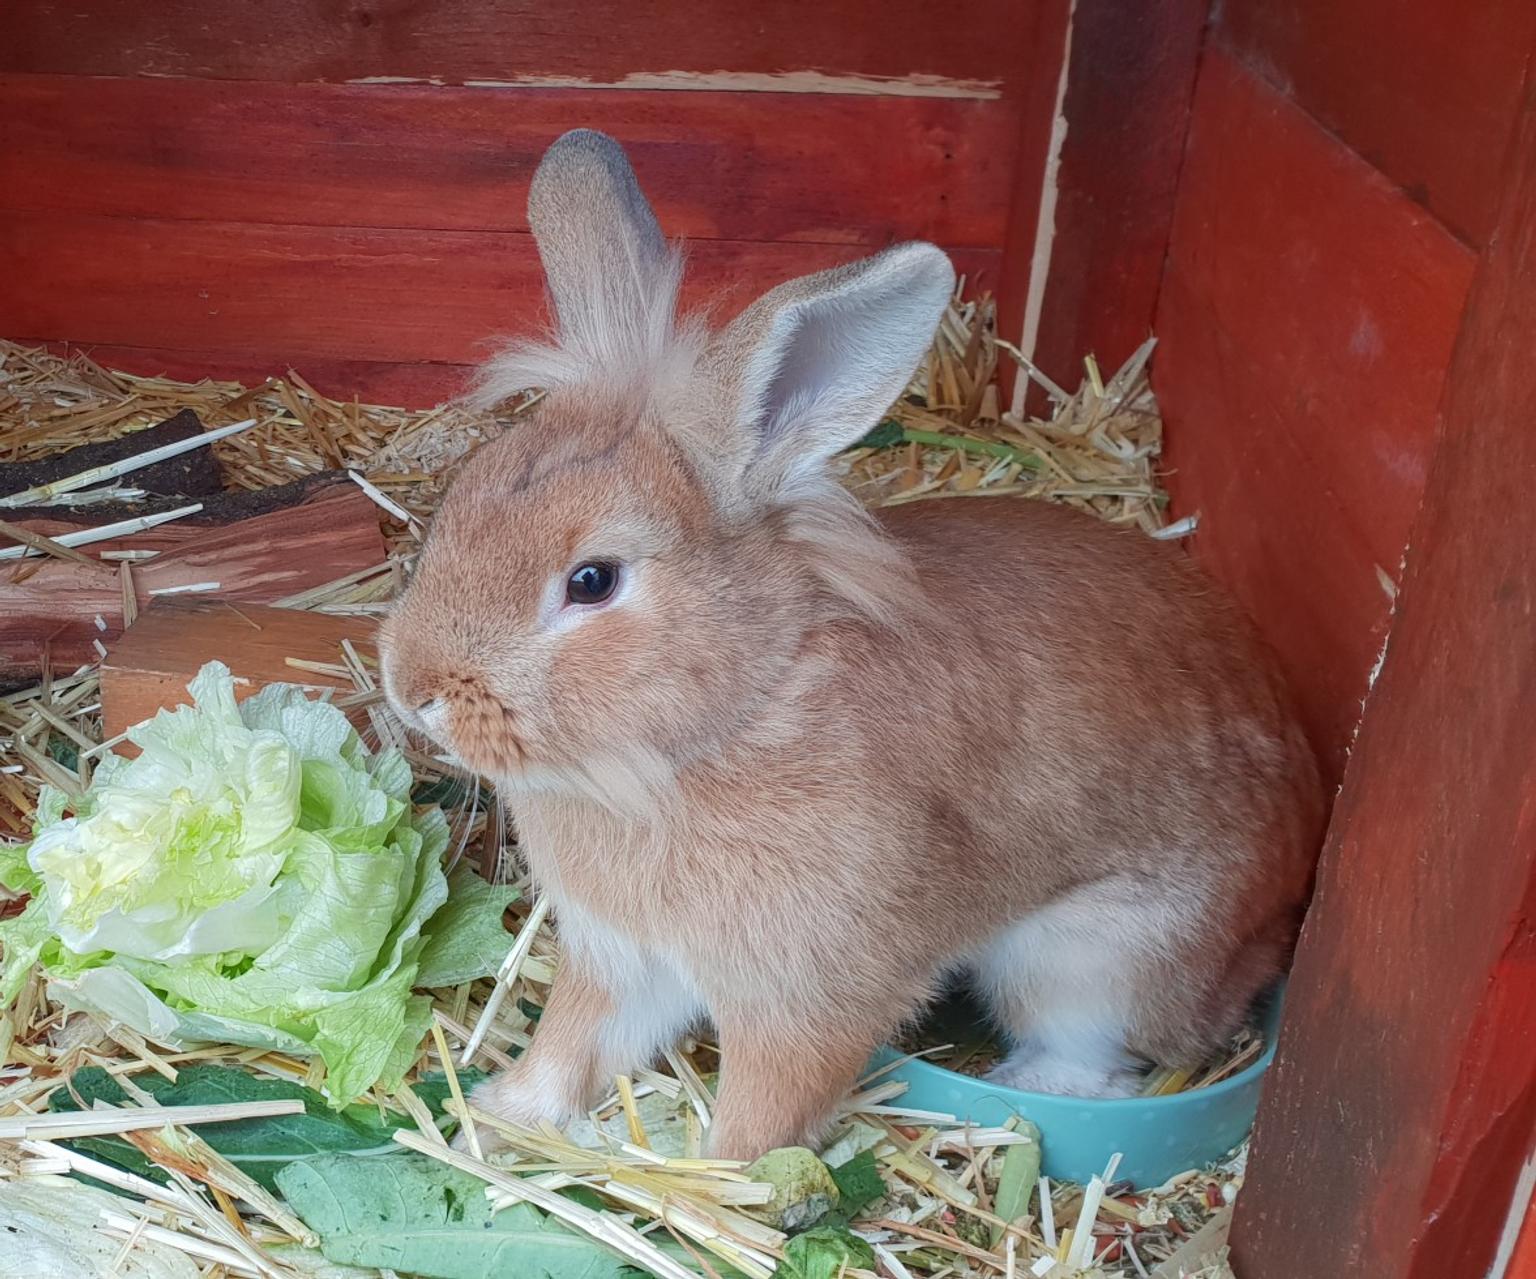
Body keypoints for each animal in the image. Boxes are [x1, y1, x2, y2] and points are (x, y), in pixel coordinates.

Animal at [380, 129, 1325, 1162]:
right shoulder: (623, 957)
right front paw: (503, 1117)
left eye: (593, 580)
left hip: (1091, 962)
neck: (732, 717)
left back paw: (1027, 1087)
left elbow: (763, 1109)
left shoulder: (807, 992)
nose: (411, 685)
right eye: (464, 496)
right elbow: (572, 1041)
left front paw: (722, 1177)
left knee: (1095, 1057)